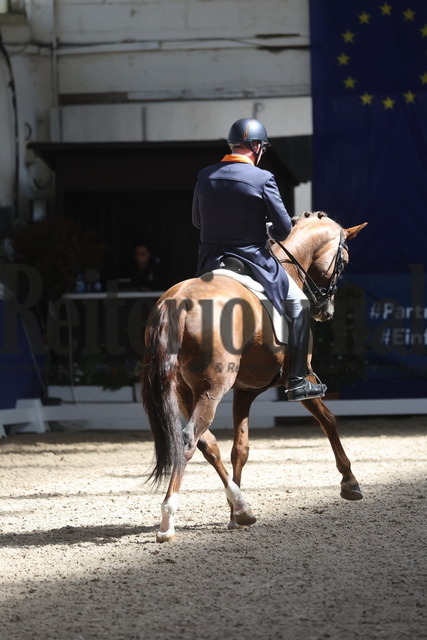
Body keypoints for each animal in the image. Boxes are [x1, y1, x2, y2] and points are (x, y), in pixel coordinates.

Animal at [141, 210, 368, 540]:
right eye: (345, 260)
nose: (326, 311)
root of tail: (178, 301)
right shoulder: (301, 377)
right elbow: (328, 420)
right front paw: (350, 482)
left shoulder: (245, 390)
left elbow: (241, 448)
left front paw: (234, 514)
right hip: (212, 388)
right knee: (188, 441)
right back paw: (168, 520)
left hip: (184, 392)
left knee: (207, 443)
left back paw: (242, 507)